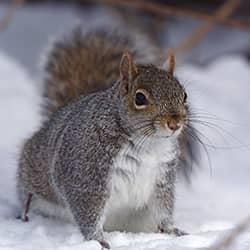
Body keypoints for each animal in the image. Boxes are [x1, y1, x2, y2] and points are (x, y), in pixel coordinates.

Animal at [16, 26, 195, 248]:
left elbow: (163, 208)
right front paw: (98, 240)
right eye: (140, 98)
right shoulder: (86, 172)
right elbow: (88, 211)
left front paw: (172, 231)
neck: (148, 143)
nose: (175, 123)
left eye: (184, 95)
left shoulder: (163, 177)